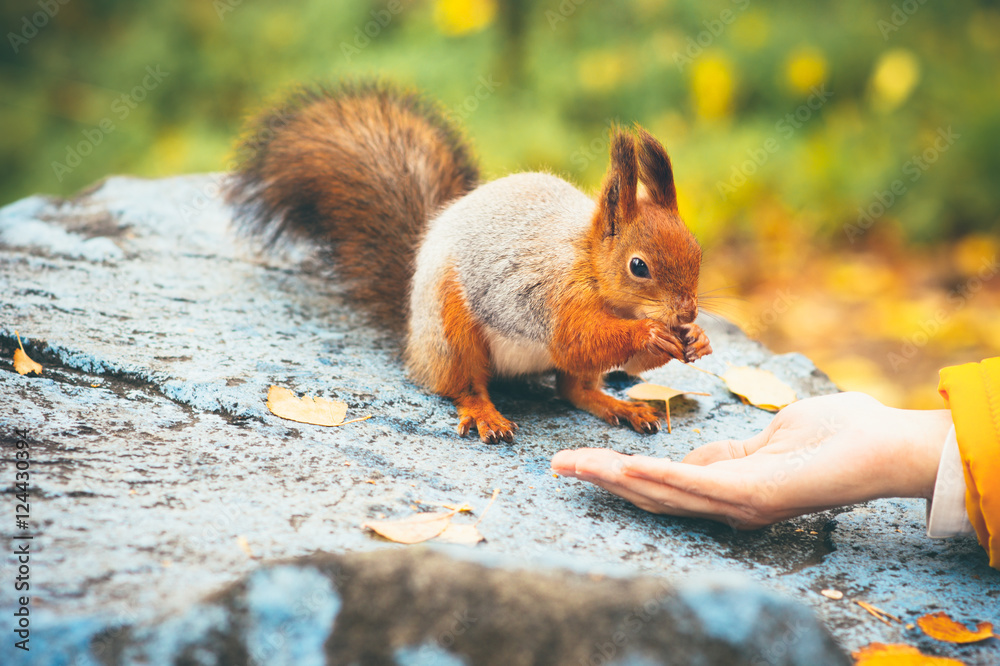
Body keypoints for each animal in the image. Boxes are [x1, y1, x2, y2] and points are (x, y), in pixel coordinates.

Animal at [227, 83, 712, 444]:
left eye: (697, 251)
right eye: (638, 266)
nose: (687, 312)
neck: (589, 264)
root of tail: (411, 332)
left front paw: (697, 339)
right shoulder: (553, 295)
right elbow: (576, 339)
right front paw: (649, 333)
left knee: (574, 390)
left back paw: (619, 406)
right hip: (451, 331)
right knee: (461, 386)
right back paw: (485, 414)